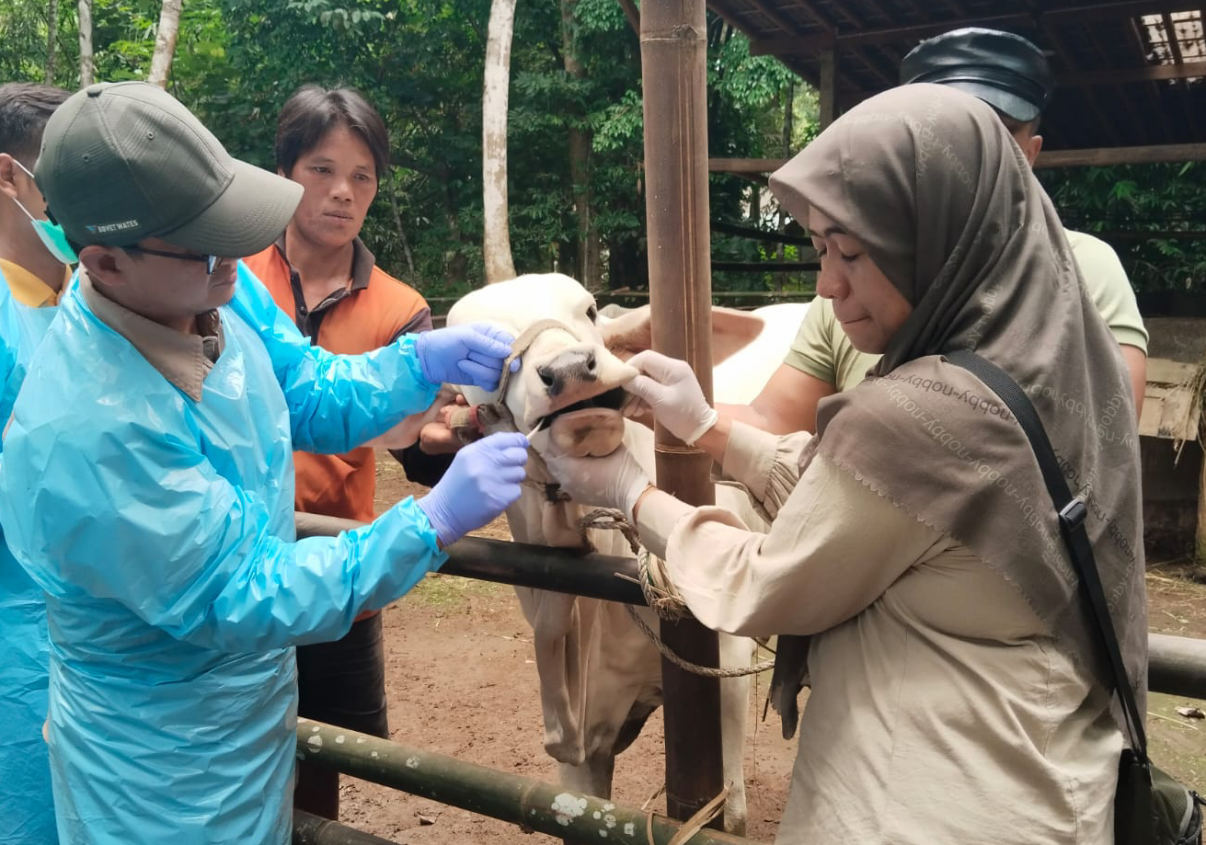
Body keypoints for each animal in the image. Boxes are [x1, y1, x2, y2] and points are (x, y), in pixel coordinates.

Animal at [451, 274, 810, 829]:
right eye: (475, 355)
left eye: (589, 311)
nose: (570, 370)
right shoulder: (581, 749)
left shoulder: (725, 673)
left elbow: (730, 815)